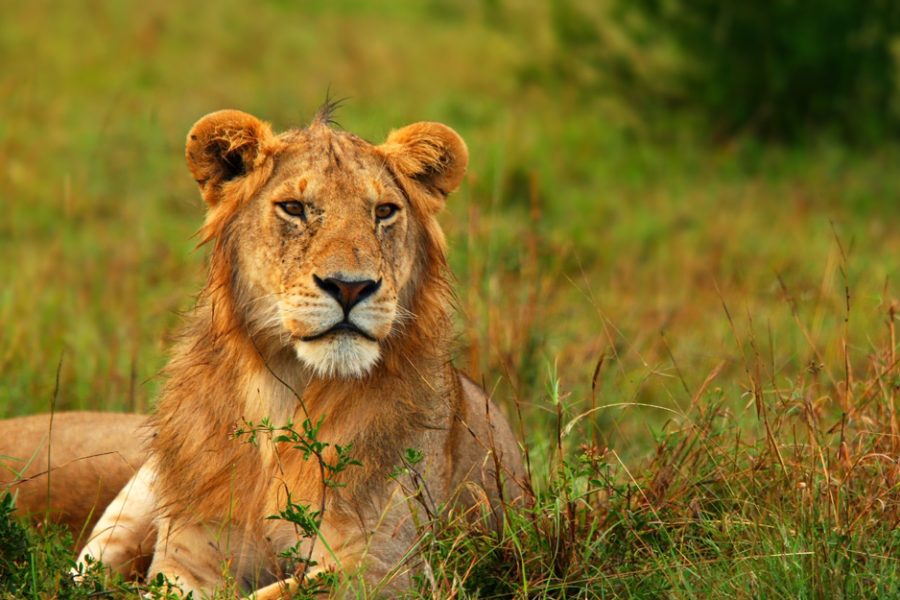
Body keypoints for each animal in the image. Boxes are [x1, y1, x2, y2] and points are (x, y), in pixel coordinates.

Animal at [70, 106, 528, 596]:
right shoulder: (185, 560)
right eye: (294, 208)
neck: (284, 392)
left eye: (384, 211)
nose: (350, 286)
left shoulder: (389, 567)